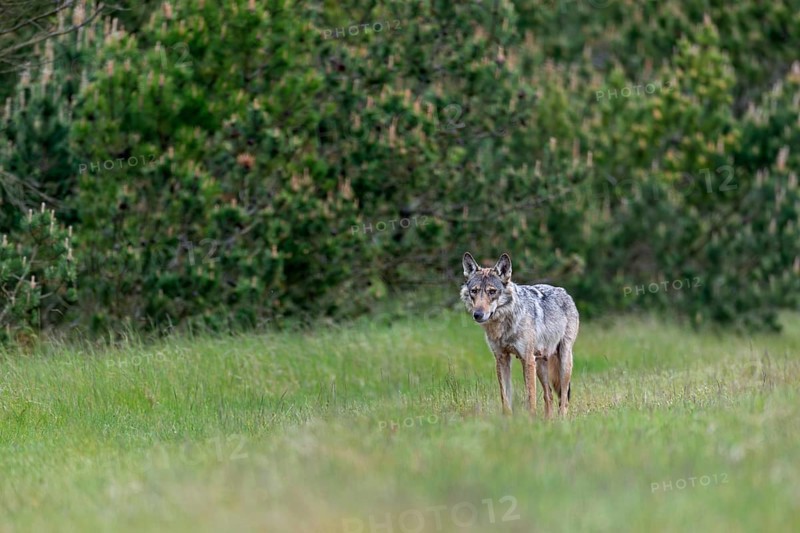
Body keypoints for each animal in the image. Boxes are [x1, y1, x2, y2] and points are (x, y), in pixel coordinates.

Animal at [460, 252, 579, 417]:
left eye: (492, 291)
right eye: (474, 291)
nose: (477, 314)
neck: (504, 326)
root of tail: (564, 292)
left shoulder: (527, 360)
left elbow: (530, 397)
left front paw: (530, 421)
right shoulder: (502, 359)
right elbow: (505, 397)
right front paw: (507, 420)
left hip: (563, 361)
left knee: (563, 398)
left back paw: (561, 420)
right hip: (540, 365)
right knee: (548, 395)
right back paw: (549, 421)